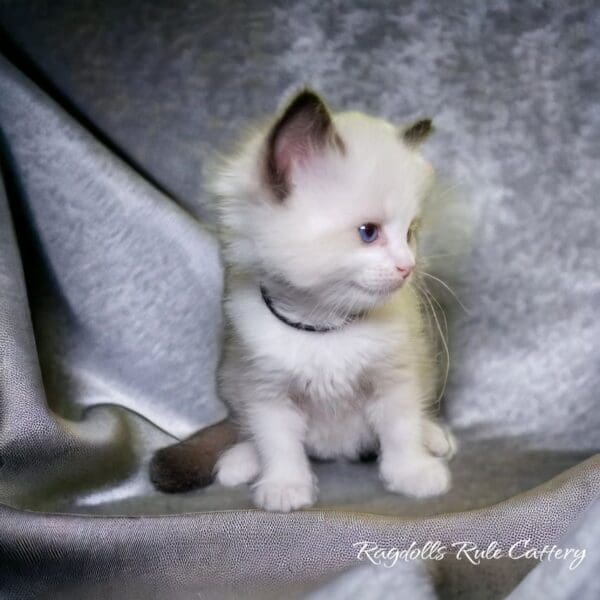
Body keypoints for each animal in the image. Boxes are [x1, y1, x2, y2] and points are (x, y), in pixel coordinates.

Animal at [150, 89, 454, 510]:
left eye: (410, 233)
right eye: (368, 232)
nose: (407, 267)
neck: (324, 324)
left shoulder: (395, 377)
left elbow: (400, 430)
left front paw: (413, 474)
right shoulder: (266, 389)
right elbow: (279, 445)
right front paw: (285, 487)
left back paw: (434, 437)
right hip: (232, 378)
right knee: (246, 429)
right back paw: (240, 462)